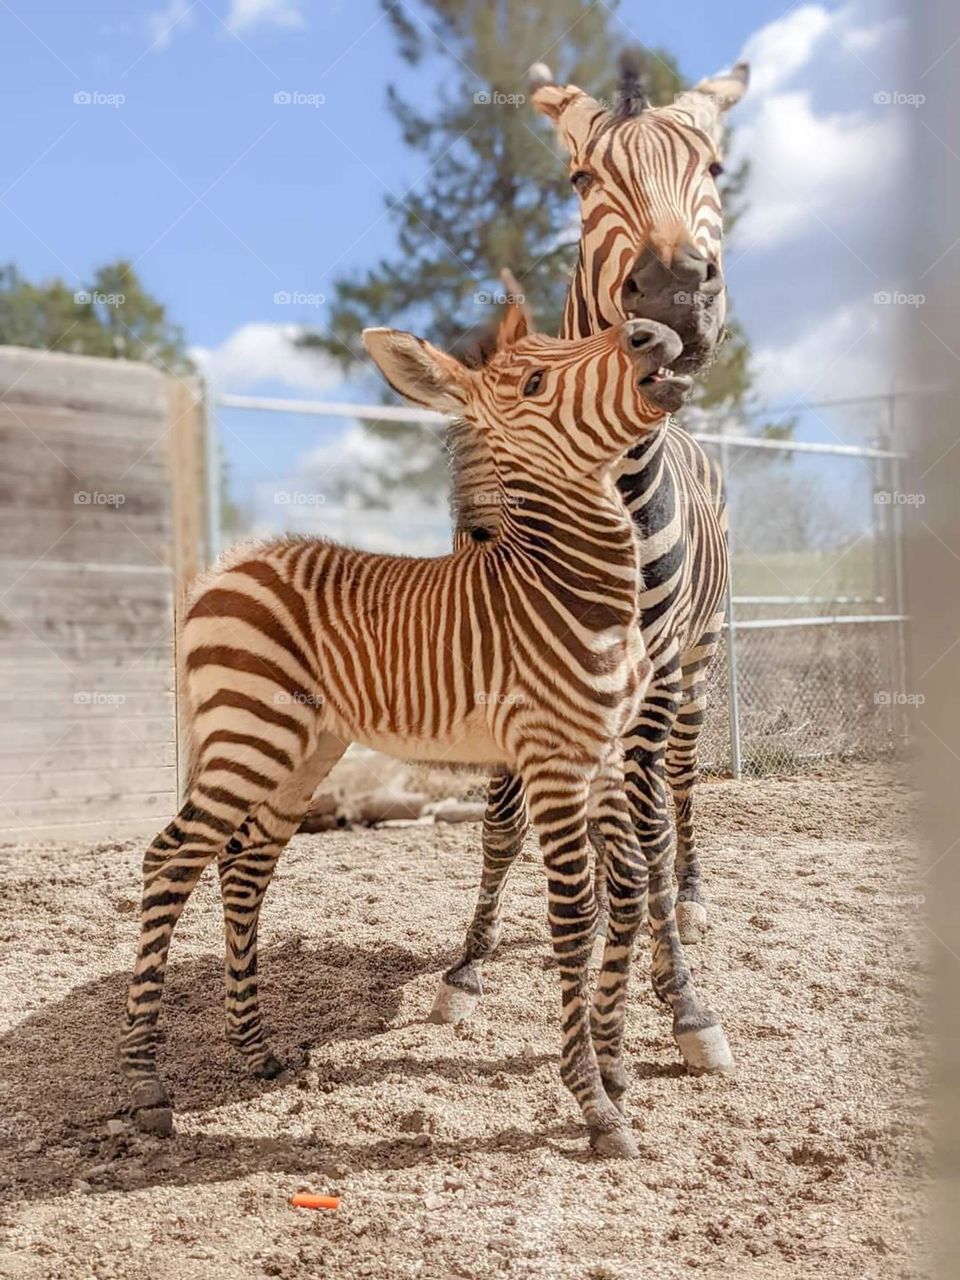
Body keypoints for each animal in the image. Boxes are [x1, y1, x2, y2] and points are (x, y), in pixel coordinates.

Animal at [121, 311, 728, 1159]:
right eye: (535, 382)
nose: (653, 334)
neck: (568, 585)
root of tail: (229, 564)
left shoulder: (603, 752)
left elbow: (632, 888)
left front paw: (613, 1069)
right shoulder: (552, 756)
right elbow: (576, 913)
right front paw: (594, 1104)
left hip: (301, 748)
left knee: (244, 867)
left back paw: (256, 1050)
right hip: (250, 733)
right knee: (171, 858)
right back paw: (145, 1084)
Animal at [433, 57, 749, 1029]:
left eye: (715, 168)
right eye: (581, 179)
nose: (676, 293)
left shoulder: (653, 667)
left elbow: (646, 823)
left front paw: (681, 996)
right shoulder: (501, 651)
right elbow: (504, 818)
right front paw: (468, 963)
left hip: (697, 664)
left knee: (675, 788)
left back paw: (680, 900)